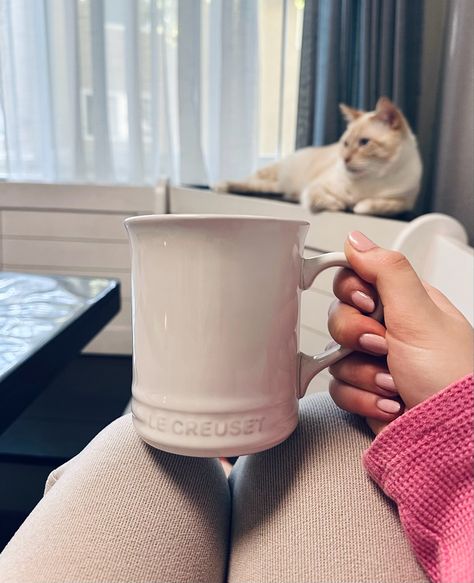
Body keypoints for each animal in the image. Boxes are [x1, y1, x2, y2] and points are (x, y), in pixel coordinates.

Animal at [215, 98, 422, 217]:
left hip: (276, 186)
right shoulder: (316, 187)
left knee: (259, 186)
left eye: (364, 142)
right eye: (345, 143)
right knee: (248, 180)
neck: (371, 178)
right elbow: (325, 200)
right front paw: (342, 204)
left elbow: (377, 205)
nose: (345, 159)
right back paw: (220, 185)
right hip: (275, 174)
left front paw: (358, 205)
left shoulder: (404, 202)